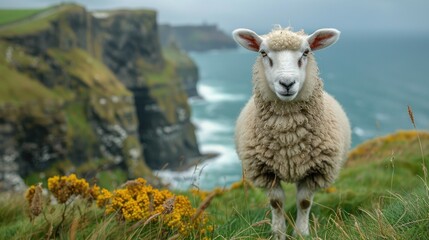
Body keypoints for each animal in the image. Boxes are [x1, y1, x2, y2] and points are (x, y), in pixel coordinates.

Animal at [232, 25, 350, 238]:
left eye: (306, 52)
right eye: (263, 53)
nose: (287, 83)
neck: (288, 136)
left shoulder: (315, 171)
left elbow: (304, 202)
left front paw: (301, 233)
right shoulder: (265, 171)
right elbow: (276, 202)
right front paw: (278, 233)